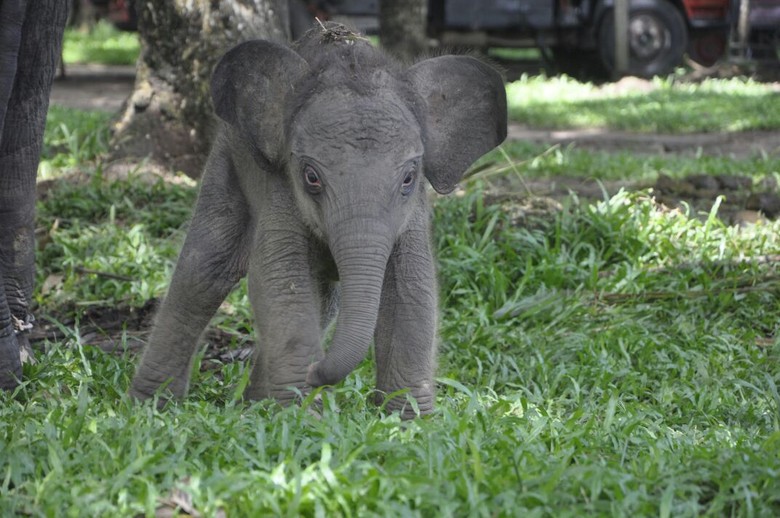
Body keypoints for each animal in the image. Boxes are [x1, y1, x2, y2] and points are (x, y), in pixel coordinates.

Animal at [129, 24, 506, 420]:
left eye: (408, 177)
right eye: (311, 176)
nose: (316, 372)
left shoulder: (412, 213)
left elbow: (412, 290)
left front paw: (409, 422)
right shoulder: (279, 182)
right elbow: (282, 281)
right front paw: (304, 417)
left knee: (324, 301)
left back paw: (253, 405)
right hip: (226, 161)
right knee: (204, 271)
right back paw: (151, 405)